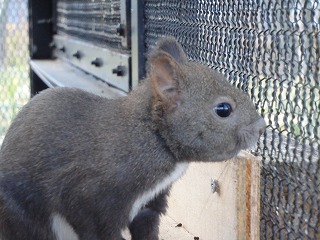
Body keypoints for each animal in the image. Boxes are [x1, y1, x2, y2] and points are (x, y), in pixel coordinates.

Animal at [0, 38, 266, 239]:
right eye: (223, 109)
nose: (262, 127)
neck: (152, 137)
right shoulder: (91, 200)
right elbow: (97, 229)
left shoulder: (149, 204)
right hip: (24, 217)